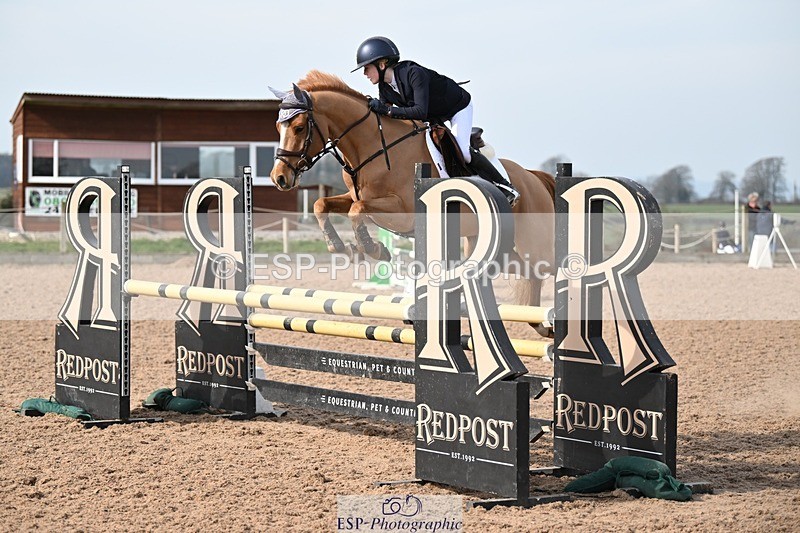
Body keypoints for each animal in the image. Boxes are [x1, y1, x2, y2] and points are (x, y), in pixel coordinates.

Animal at [269, 70, 555, 319]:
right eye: (278, 128)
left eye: (298, 127)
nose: (279, 178)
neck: (374, 146)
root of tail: (533, 177)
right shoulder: (357, 196)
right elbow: (322, 204)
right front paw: (342, 247)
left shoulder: (403, 211)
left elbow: (356, 211)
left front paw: (374, 249)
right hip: (493, 247)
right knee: (530, 273)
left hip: (533, 244)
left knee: (549, 267)